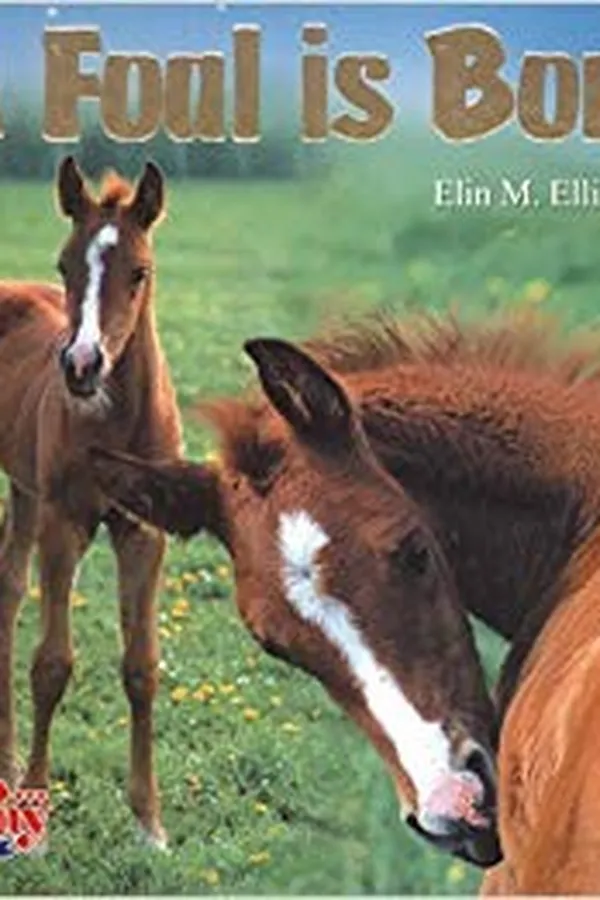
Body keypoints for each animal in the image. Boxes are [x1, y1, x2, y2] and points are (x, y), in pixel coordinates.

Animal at [0, 156, 182, 849]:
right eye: (64, 265)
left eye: (140, 271)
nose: (82, 365)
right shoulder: (66, 525)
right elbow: (52, 665)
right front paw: (38, 819)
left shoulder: (143, 533)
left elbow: (142, 668)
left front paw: (149, 824)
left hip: (24, 491)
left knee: (8, 590)